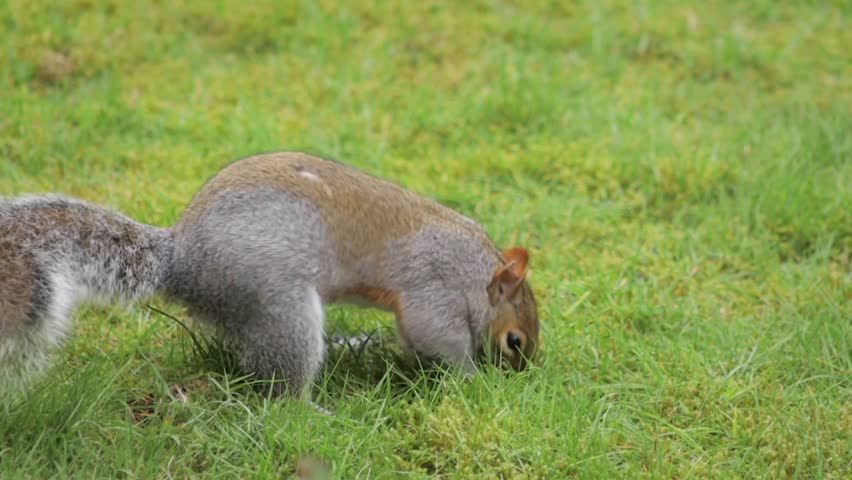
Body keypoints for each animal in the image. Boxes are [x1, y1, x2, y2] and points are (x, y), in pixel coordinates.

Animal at [1, 151, 539, 398]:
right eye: (514, 341)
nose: (521, 376)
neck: (474, 269)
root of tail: (183, 261)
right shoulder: (432, 284)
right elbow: (435, 335)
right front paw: (473, 378)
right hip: (278, 302)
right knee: (282, 385)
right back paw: (314, 409)